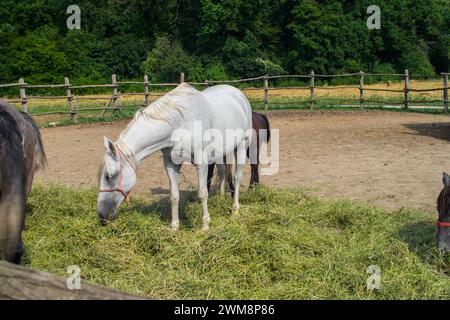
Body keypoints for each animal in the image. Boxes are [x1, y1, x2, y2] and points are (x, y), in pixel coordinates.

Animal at [96, 82, 251, 230]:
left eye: (108, 176)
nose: (102, 216)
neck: (179, 124)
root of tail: (237, 93)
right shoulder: (170, 163)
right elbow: (174, 195)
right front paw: (174, 226)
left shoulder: (201, 162)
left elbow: (202, 193)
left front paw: (205, 226)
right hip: (220, 152)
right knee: (223, 172)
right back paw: (221, 199)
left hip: (242, 145)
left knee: (237, 177)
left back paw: (235, 211)